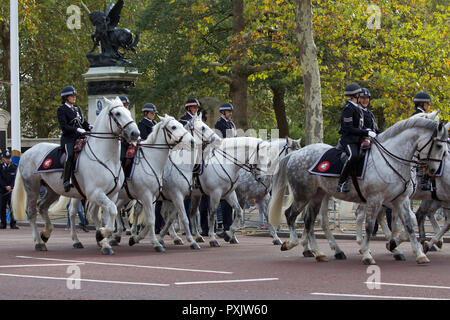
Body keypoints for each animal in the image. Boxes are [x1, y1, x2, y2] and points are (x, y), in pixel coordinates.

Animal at [12, 96, 139, 254]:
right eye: (117, 113)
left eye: (127, 111)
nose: (135, 133)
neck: (107, 158)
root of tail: (27, 152)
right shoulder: (95, 193)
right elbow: (112, 211)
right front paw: (102, 235)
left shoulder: (112, 194)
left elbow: (110, 214)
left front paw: (104, 240)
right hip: (33, 188)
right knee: (32, 211)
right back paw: (39, 242)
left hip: (53, 190)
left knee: (42, 207)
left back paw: (47, 233)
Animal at [268, 116, 448, 264]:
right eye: (439, 145)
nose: (433, 171)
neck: (392, 160)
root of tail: (295, 154)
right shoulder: (375, 199)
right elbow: (370, 225)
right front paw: (368, 254)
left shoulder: (400, 200)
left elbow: (409, 224)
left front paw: (419, 254)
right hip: (303, 195)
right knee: (291, 215)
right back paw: (292, 243)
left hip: (318, 196)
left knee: (310, 221)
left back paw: (320, 252)